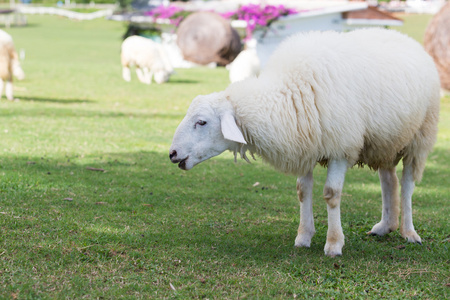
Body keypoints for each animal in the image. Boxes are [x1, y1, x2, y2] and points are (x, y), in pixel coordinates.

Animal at [169, 28, 440, 256]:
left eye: (201, 122)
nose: (172, 153)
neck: (285, 95)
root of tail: (404, 37)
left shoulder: (340, 147)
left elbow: (331, 194)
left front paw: (334, 244)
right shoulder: (304, 144)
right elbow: (302, 191)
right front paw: (303, 237)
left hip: (419, 138)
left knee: (406, 185)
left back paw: (408, 232)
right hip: (385, 142)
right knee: (389, 181)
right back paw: (385, 226)